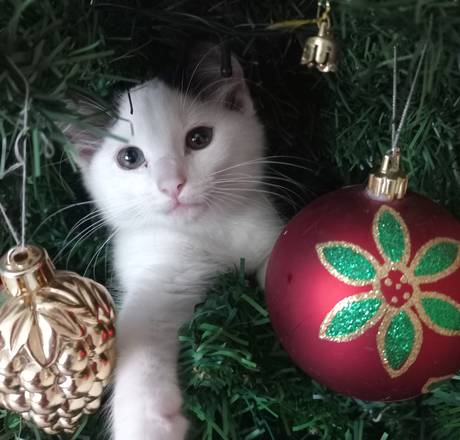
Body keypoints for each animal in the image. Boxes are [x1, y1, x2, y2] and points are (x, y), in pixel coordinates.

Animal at [66, 45, 283, 440]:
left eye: (199, 139)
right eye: (129, 157)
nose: (173, 185)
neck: (208, 232)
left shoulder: (266, 229)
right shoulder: (157, 272)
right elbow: (139, 334)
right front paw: (145, 422)